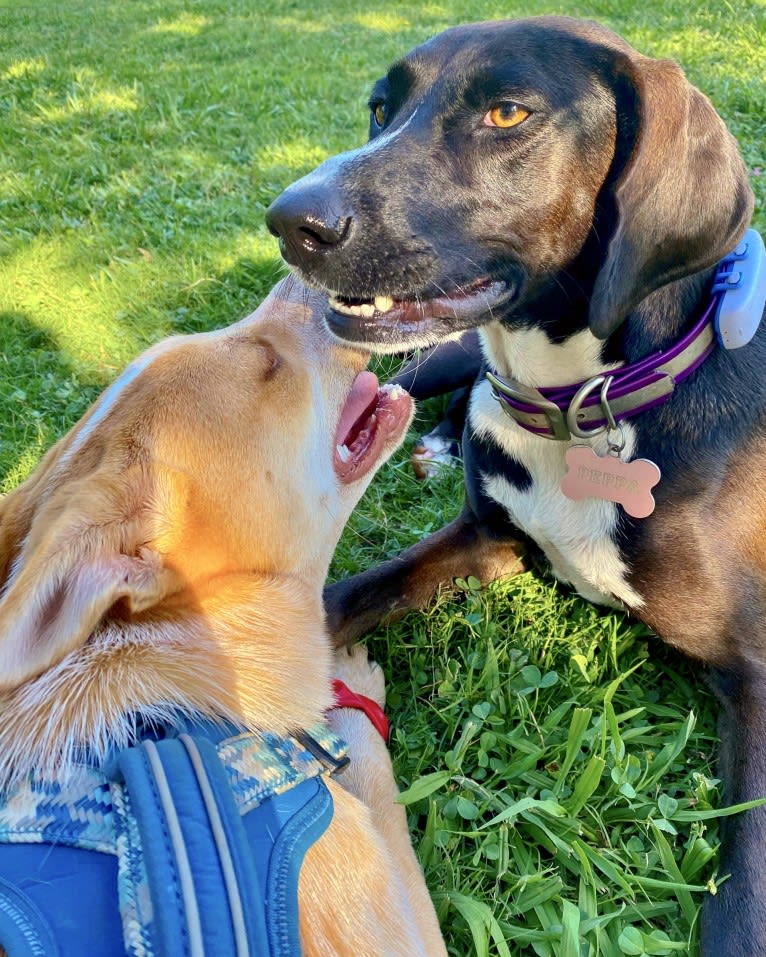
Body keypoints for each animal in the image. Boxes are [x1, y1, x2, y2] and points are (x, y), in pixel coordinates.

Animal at [268, 14, 766, 956]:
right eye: (380, 108)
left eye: (507, 114)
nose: (291, 222)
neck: (578, 402)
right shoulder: (487, 537)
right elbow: (338, 596)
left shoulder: (758, 670)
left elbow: (747, 883)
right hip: (434, 356)